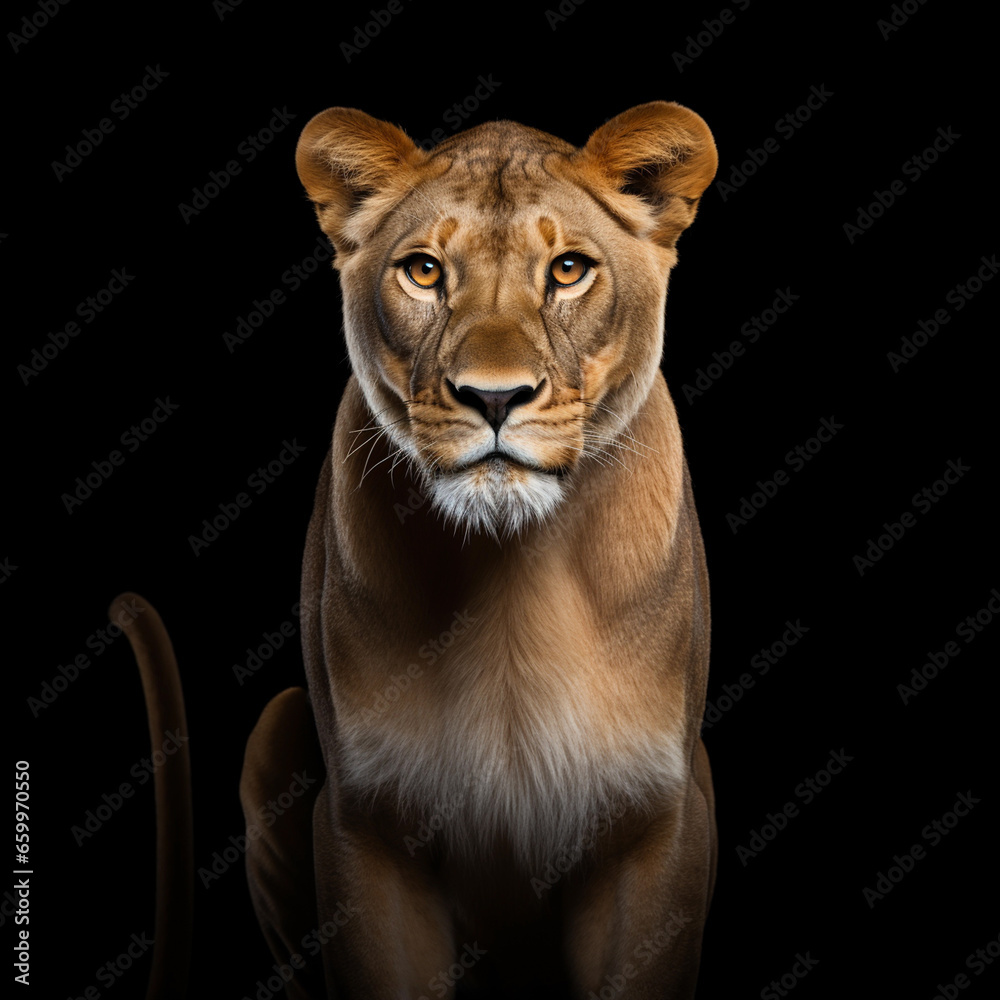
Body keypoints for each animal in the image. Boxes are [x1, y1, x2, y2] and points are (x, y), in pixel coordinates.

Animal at [119, 100, 719, 1000]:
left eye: (569, 269)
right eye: (426, 272)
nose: (494, 397)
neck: (512, 571)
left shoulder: (657, 821)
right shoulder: (368, 823)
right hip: (274, 732)